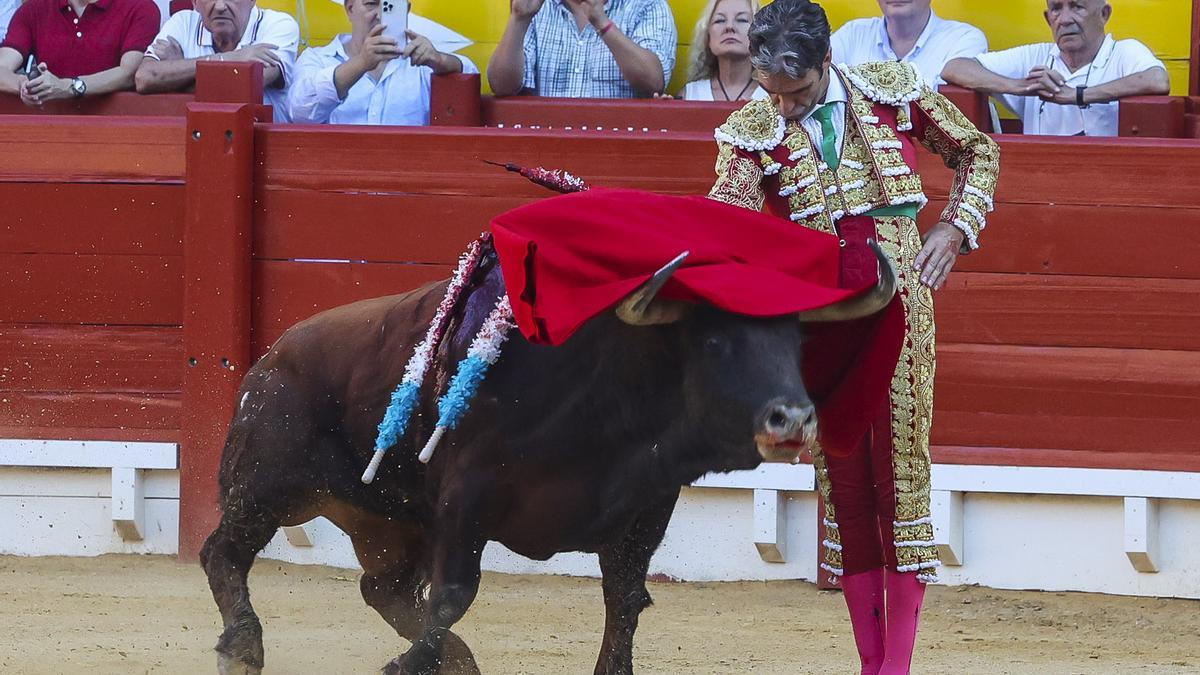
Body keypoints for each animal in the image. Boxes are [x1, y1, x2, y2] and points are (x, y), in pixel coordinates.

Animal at [199, 239, 892, 667]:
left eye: (795, 340)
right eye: (716, 340)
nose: (792, 417)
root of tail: (269, 357)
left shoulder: (643, 513)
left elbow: (624, 606)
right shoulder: (463, 502)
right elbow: (453, 595)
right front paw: (410, 664)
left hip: (391, 523)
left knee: (382, 589)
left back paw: (459, 661)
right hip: (267, 487)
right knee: (222, 552)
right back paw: (243, 649)